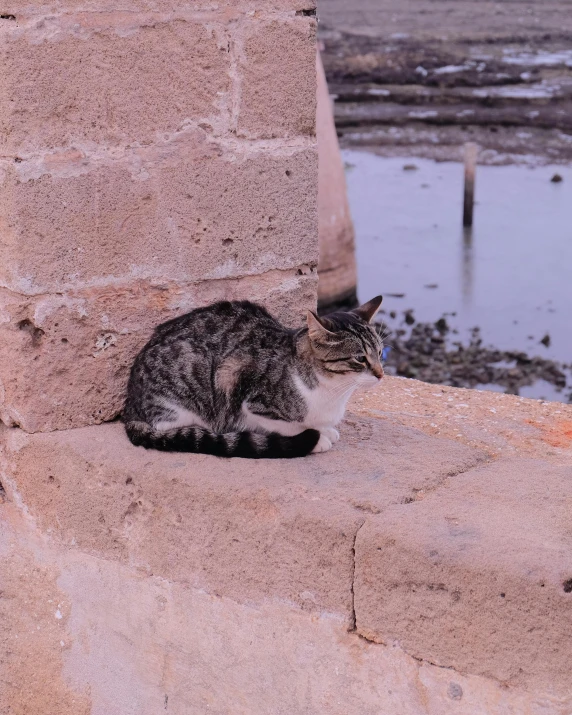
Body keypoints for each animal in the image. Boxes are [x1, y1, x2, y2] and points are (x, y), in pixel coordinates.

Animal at [124, 296, 384, 458]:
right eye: (360, 358)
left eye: (380, 352)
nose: (381, 374)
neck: (334, 392)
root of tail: (130, 406)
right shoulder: (239, 384)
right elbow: (288, 426)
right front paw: (318, 437)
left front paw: (325, 429)